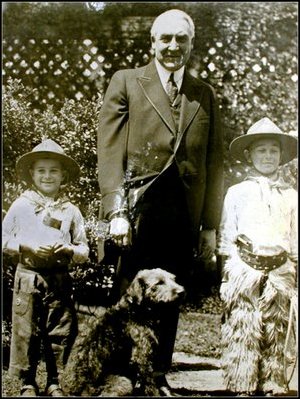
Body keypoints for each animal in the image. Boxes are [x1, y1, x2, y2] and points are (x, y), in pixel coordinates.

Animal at [61, 268, 184, 396]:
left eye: (174, 279)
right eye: (159, 283)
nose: (182, 292)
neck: (136, 309)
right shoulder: (142, 356)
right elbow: (149, 383)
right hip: (123, 382)